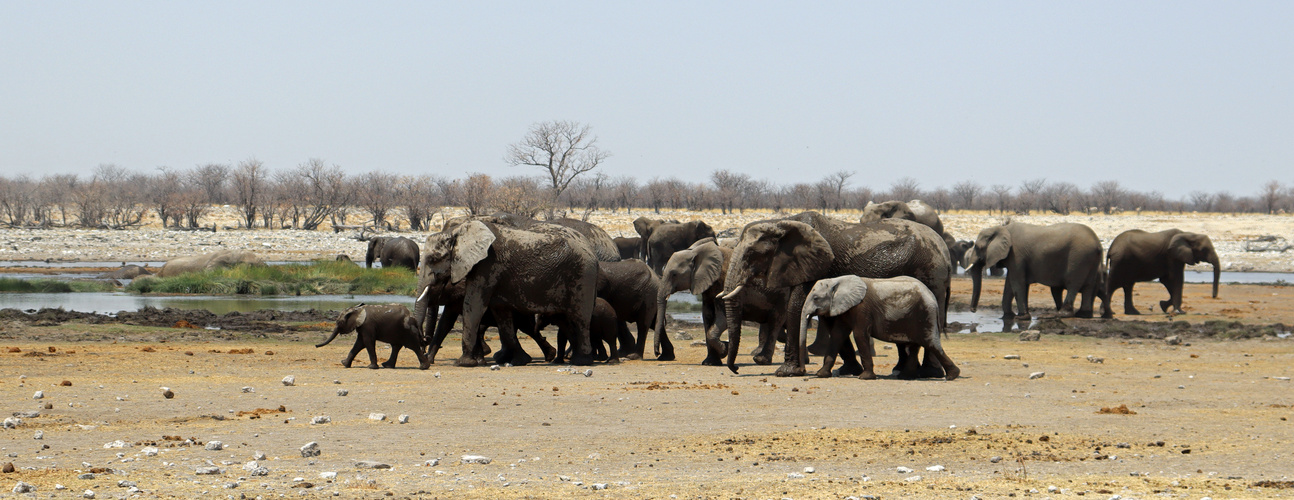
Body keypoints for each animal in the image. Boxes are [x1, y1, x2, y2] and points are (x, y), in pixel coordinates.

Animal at [414, 218, 600, 367]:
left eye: (434, 259)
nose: (423, 340)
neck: (458, 231)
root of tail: (592, 250)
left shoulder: (488, 265)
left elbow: (473, 306)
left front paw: (464, 363)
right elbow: (501, 314)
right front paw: (520, 361)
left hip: (583, 276)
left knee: (579, 318)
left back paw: (581, 362)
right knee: (566, 319)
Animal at [719, 212, 952, 378]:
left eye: (752, 254)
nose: (736, 368)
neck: (781, 222)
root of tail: (945, 249)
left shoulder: (818, 264)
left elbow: (796, 306)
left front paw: (787, 372)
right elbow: (831, 320)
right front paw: (848, 371)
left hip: (932, 272)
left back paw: (928, 373)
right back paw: (900, 371)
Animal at [973, 221, 1112, 319]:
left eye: (977, 247)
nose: (973, 310)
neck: (1001, 228)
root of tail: (1098, 243)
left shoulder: (1016, 255)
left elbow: (1017, 283)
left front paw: (1021, 317)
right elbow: (1011, 285)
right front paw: (1008, 316)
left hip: (1079, 256)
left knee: (1073, 283)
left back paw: (1060, 315)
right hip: (1091, 259)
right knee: (1089, 286)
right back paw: (1083, 315)